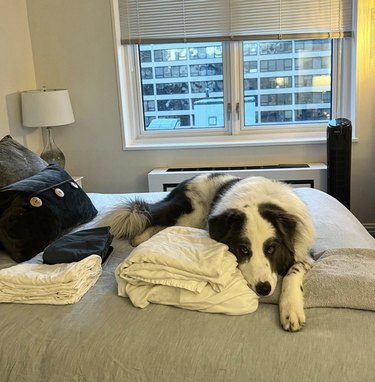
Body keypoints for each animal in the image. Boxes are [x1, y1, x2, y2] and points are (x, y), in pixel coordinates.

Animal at [101, 174, 316, 332]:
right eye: (243, 249)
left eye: (271, 249)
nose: (263, 289)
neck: (261, 200)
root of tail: (186, 181)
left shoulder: (305, 253)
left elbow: (293, 273)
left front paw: (291, 309)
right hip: (191, 215)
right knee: (155, 218)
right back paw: (140, 237)